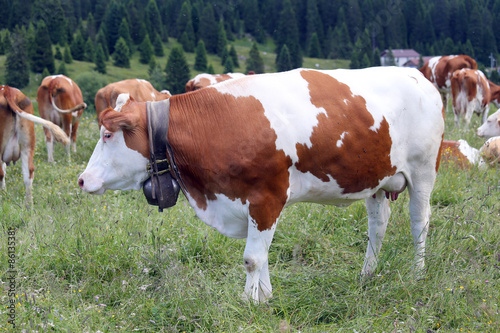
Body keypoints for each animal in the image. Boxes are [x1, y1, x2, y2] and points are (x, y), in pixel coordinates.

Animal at [78, 67, 446, 300]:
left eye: (108, 135)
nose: (82, 179)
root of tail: (420, 78)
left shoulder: (266, 197)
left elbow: (253, 258)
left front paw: (251, 301)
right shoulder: (250, 203)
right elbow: (262, 254)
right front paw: (264, 296)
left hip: (423, 170)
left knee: (420, 223)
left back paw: (417, 274)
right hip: (377, 179)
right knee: (377, 226)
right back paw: (367, 274)